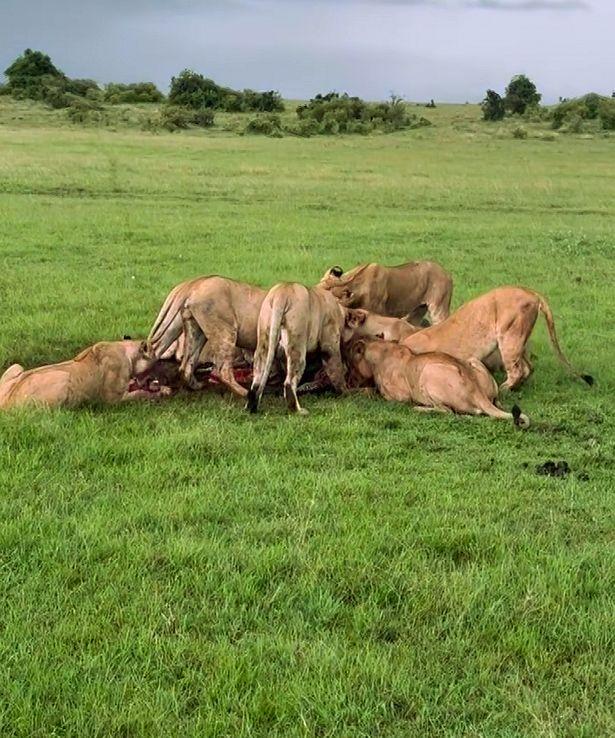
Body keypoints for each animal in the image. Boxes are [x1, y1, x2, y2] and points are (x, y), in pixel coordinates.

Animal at [0, 340, 159, 408]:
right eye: (156, 358)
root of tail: (5, 405)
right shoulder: (113, 399)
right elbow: (140, 394)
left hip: (16, 366)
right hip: (63, 377)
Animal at [247, 284, 352, 414]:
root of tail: (282, 293)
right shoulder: (330, 346)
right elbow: (337, 370)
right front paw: (345, 393)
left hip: (264, 342)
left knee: (257, 380)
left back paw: (251, 406)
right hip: (297, 344)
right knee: (289, 382)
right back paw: (298, 411)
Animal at [346, 334, 528, 422]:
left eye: (351, 364)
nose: (349, 379)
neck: (382, 350)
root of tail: (477, 391)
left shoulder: (400, 396)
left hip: (429, 371)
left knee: (447, 411)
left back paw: (419, 408)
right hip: (472, 360)